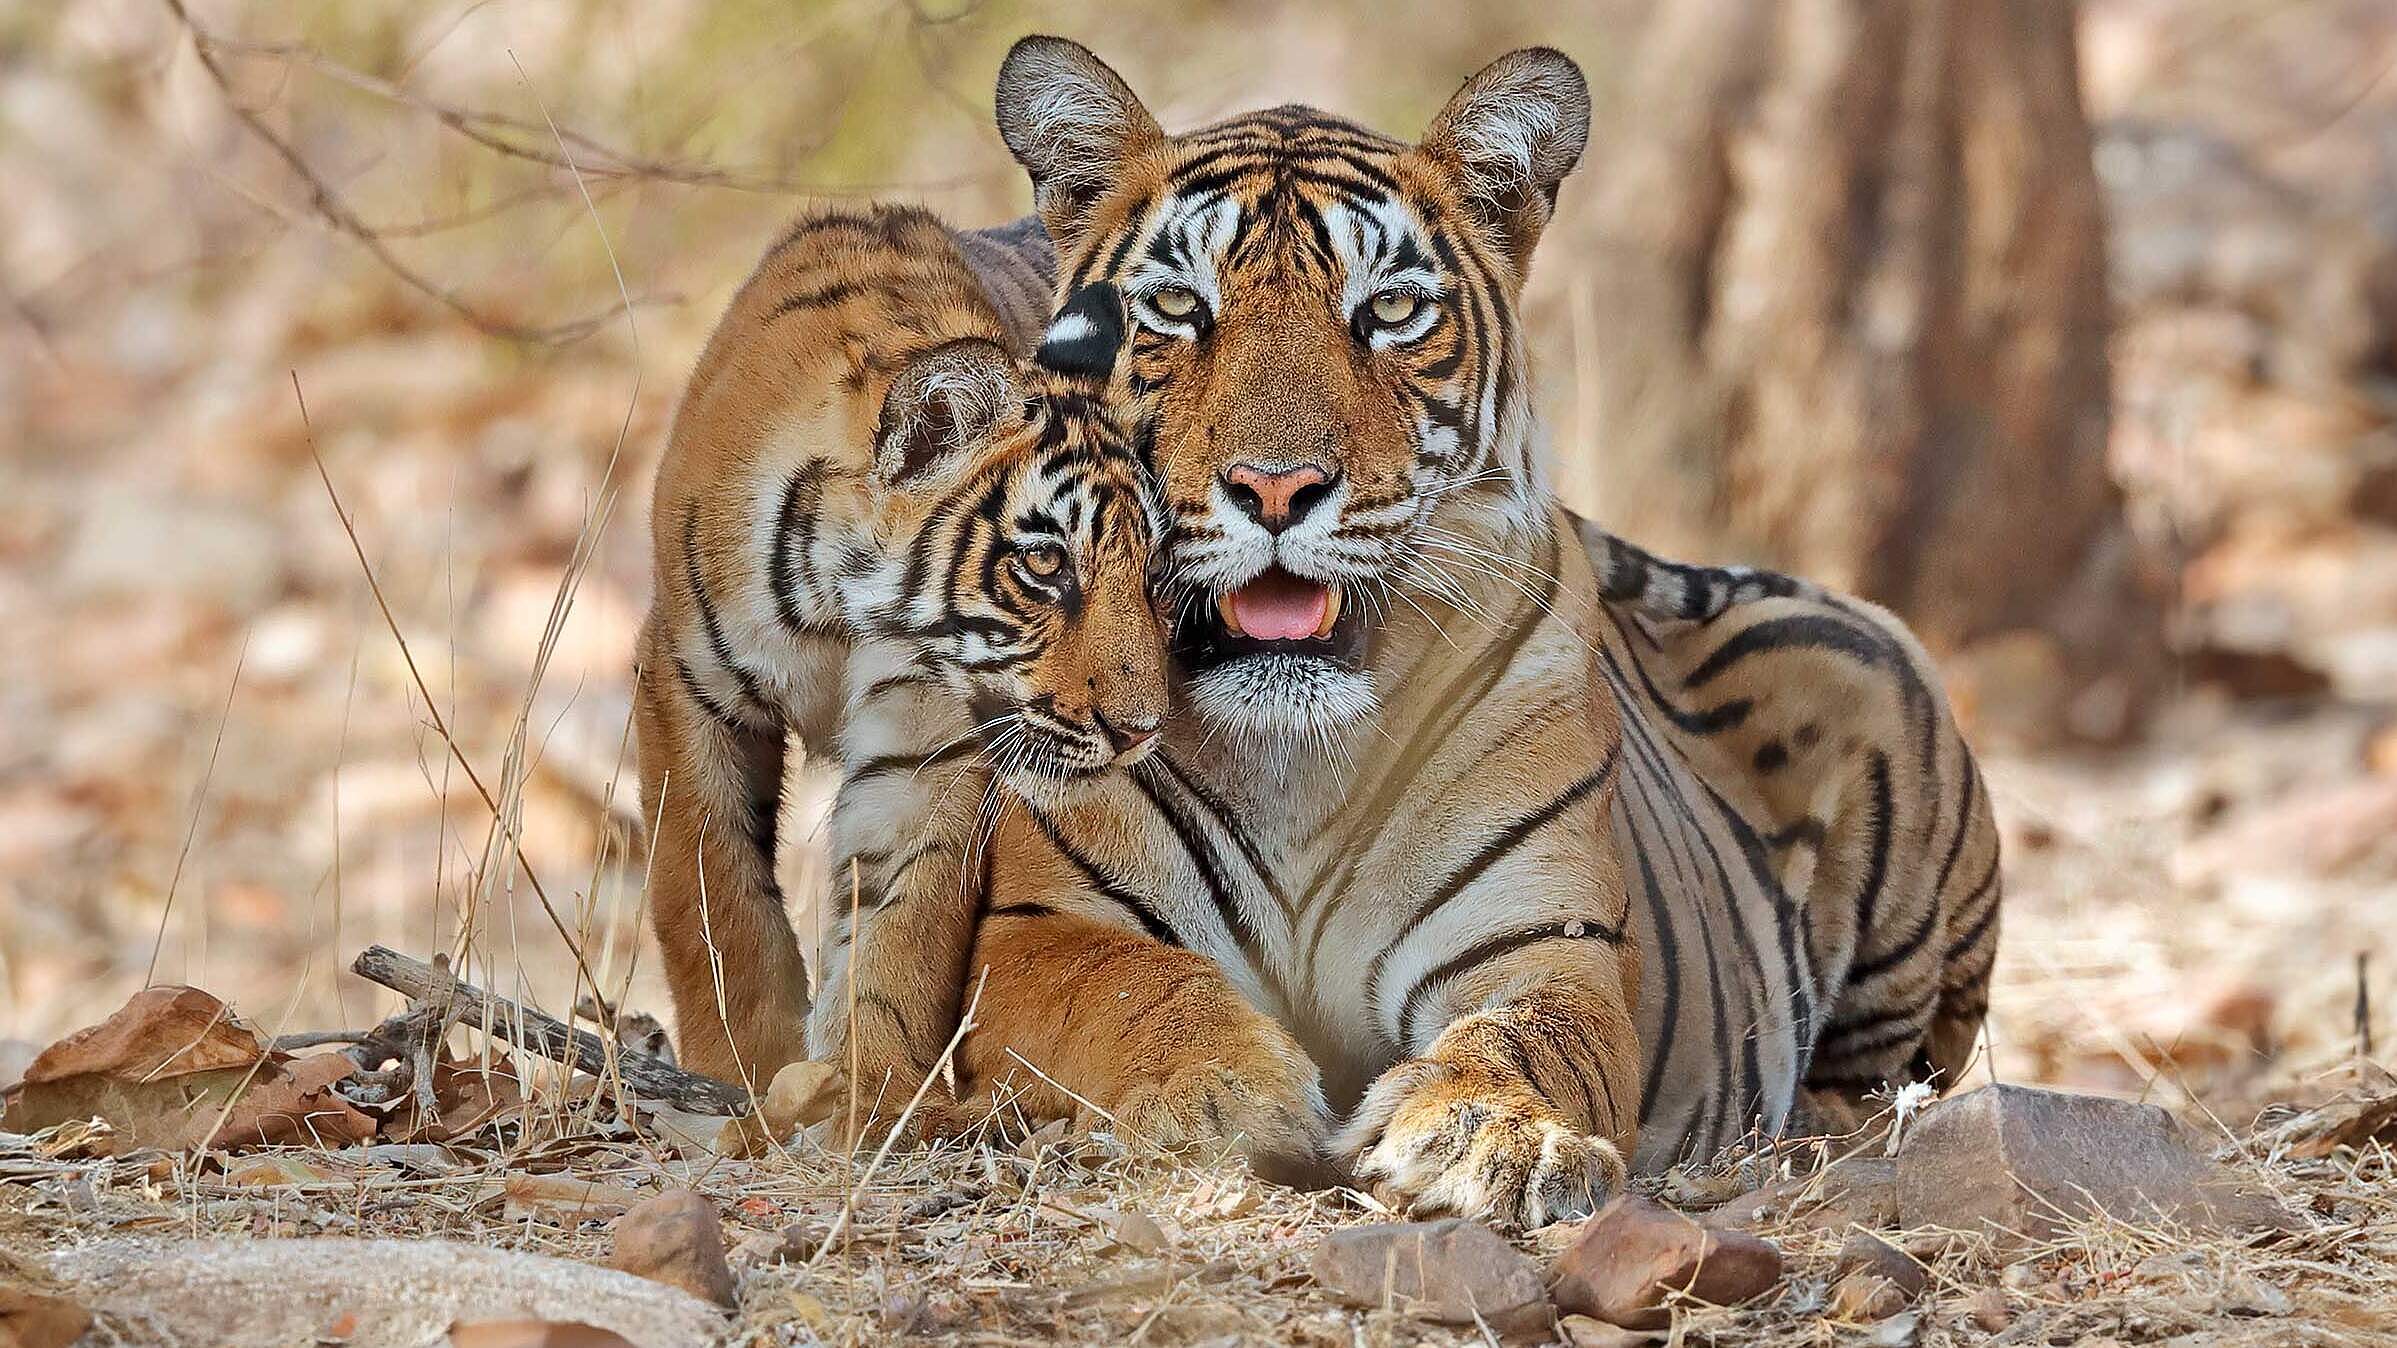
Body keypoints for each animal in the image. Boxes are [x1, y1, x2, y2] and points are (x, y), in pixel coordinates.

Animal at [632, 204, 1169, 1110]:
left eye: (1152, 572)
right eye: (1046, 563)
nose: (1140, 732)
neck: (839, 611)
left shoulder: (927, 743)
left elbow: (900, 921)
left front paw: (867, 1091)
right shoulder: (684, 682)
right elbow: (709, 894)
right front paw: (741, 1070)